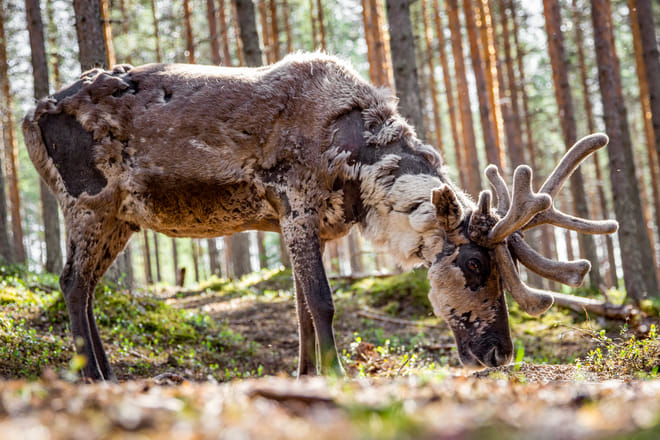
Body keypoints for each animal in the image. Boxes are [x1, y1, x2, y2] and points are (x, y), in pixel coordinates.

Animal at [22, 52, 618, 381]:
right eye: (474, 265)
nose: (499, 354)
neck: (359, 168)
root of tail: (28, 114)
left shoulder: (304, 225)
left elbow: (302, 308)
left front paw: (308, 373)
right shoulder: (297, 207)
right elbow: (324, 303)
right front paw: (338, 372)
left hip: (121, 218)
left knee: (87, 289)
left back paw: (107, 370)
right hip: (88, 203)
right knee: (71, 283)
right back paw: (92, 377)